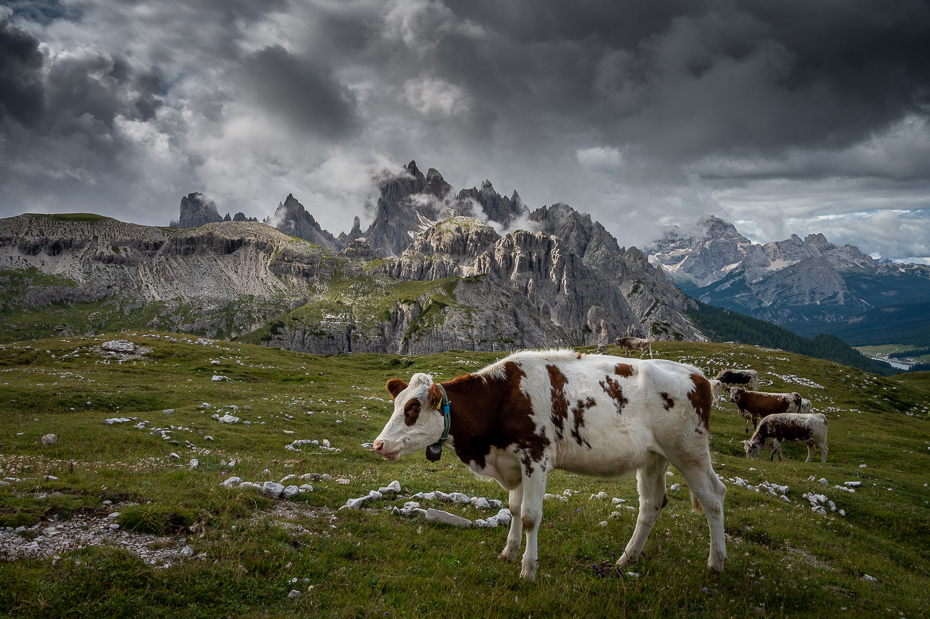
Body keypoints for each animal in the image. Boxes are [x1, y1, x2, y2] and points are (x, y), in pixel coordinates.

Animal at [370, 354, 724, 580]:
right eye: (397, 403)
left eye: (413, 409)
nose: (379, 444)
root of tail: (698, 375)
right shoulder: (513, 461)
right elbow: (514, 508)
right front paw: (509, 552)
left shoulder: (535, 458)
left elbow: (530, 516)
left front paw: (528, 569)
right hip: (653, 458)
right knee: (651, 504)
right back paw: (626, 559)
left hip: (689, 451)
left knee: (713, 497)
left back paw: (715, 562)